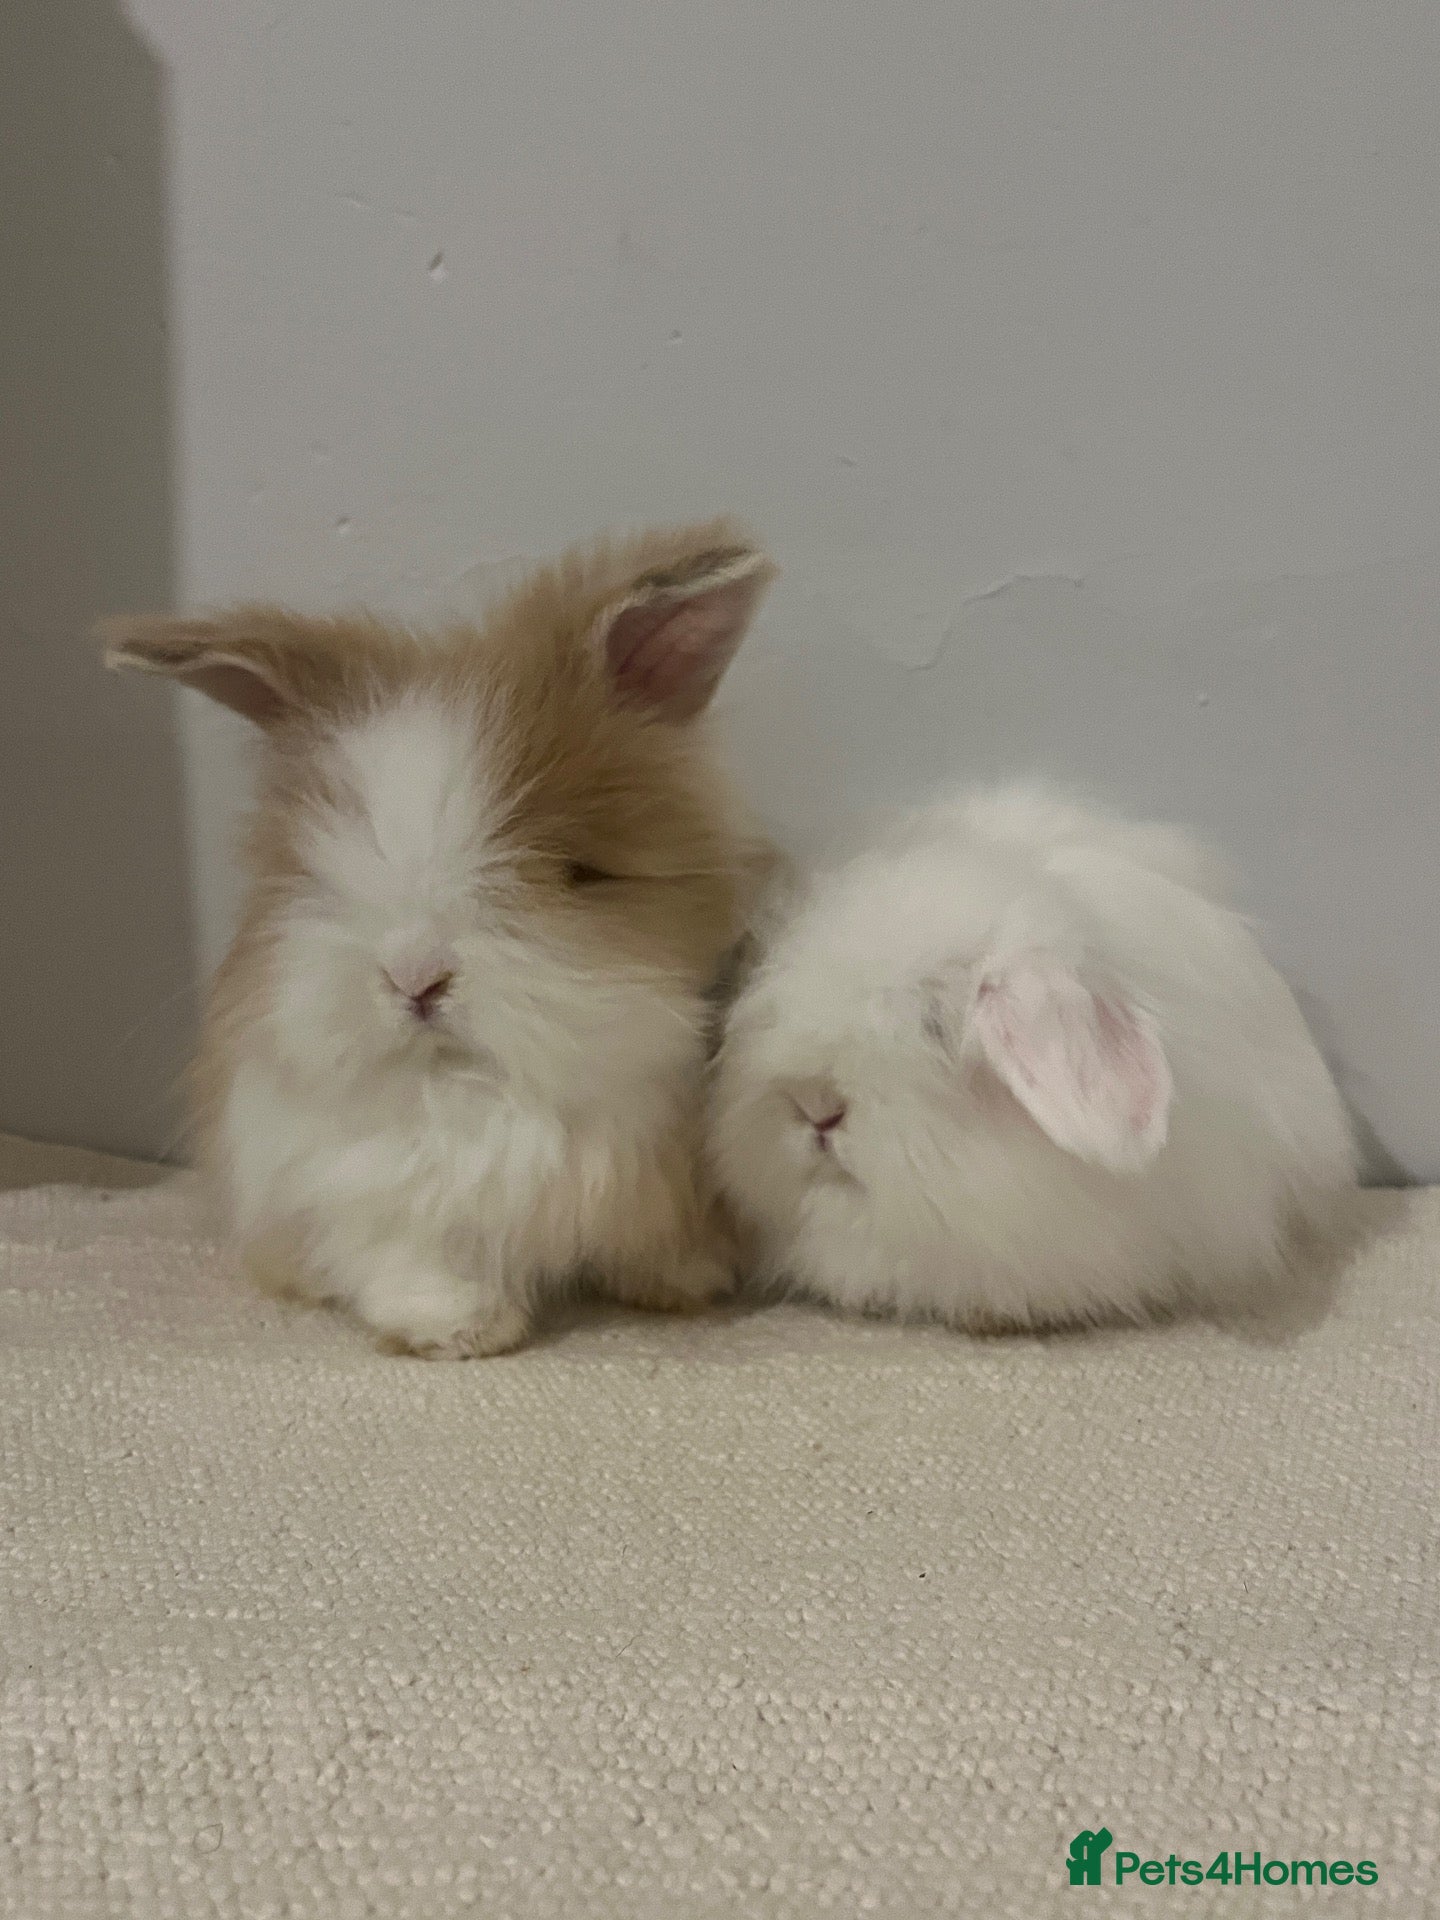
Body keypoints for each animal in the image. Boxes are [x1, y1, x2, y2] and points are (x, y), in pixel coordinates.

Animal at [102, 520, 778, 1357]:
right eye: (315, 870)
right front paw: (459, 1328)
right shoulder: (362, 1190)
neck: (477, 1090)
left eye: (577, 872)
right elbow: (417, 1252)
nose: (414, 978)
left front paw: (684, 1285)